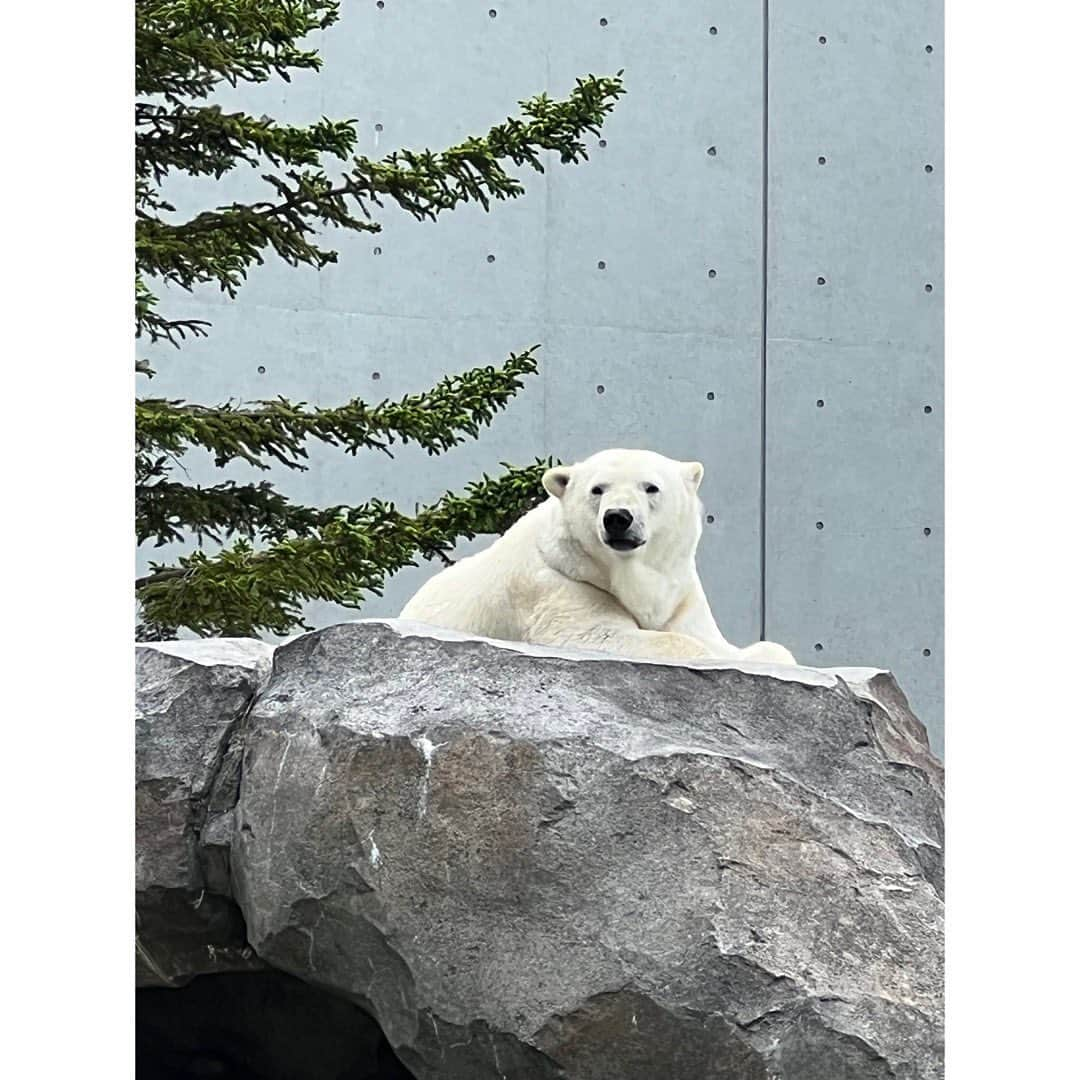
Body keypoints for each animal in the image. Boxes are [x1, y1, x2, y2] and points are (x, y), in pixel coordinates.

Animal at [401, 447, 799, 665]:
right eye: (597, 489)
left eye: (651, 487)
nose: (618, 518)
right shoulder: (560, 585)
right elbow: (601, 634)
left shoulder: (680, 595)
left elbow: (748, 647)